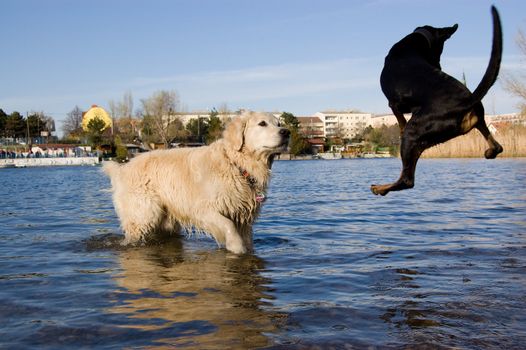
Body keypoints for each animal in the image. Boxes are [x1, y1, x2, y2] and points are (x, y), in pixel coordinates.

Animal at [374, 5, 506, 196]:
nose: (438, 65)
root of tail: (467, 101)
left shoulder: (394, 104)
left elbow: (400, 120)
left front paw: (399, 126)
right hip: (476, 121)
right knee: (497, 146)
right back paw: (489, 152)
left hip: (414, 133)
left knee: (407, 179)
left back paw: (381, 188)